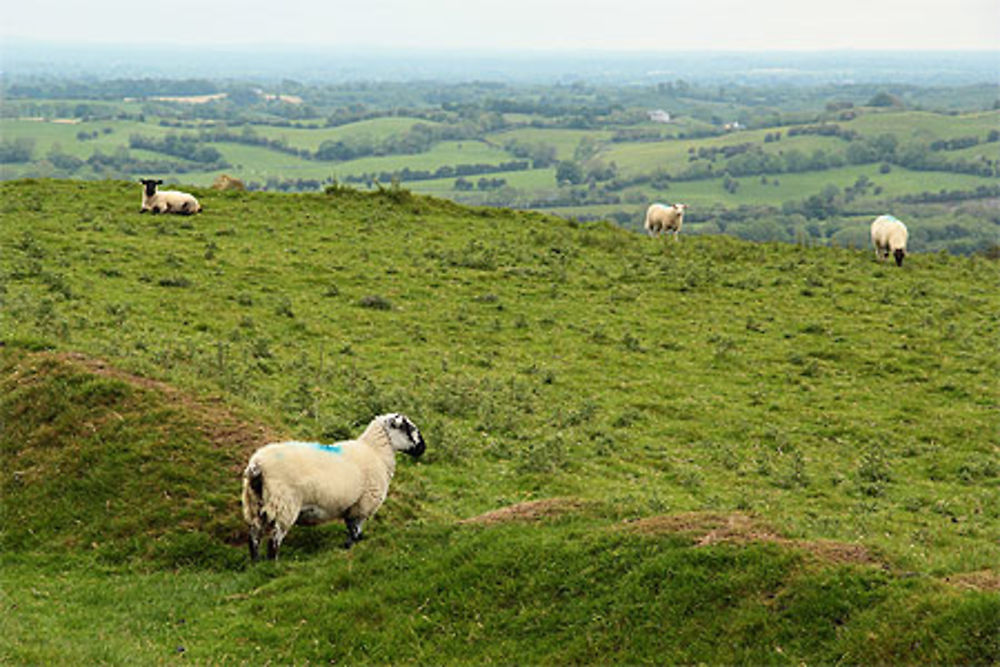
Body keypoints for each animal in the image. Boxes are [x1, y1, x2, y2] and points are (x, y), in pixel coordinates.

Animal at [244, 414, 428, 560]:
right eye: (408, 427)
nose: (422, 447)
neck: (376, 452)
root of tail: (257, 465)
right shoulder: (362, 505)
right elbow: (355, 532)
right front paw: (352, 548)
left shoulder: (351, 506)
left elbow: (351, 531)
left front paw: (347, 547)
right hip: (284, 505)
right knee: (273, 541)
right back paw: (273, 565)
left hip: (255, 504)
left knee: (254, 537)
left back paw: (256, 564)